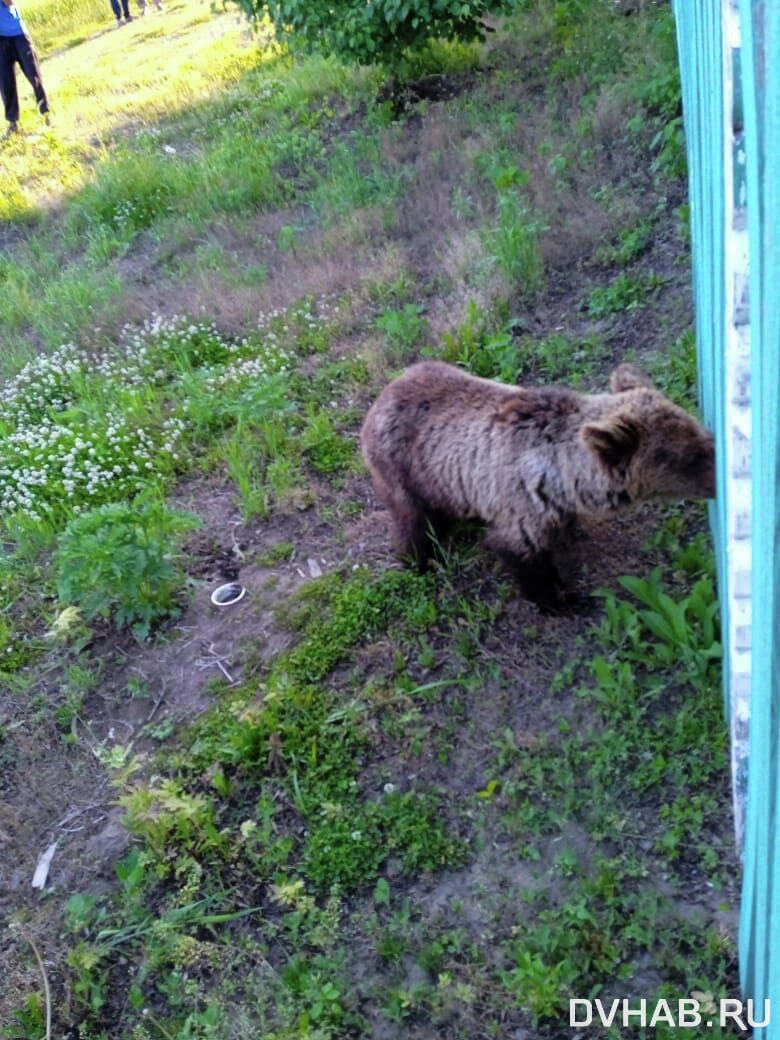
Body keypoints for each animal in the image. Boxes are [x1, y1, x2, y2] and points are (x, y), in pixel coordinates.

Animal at [359, 359, 715, 607]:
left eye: (701, 433)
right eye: (690, 457)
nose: (716, 481)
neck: (563, 476)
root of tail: (379, 399)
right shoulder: (521, 503)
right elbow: (524, 557)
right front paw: (563, 599)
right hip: (406, 471)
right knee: (414, 522)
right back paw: (422, 560)